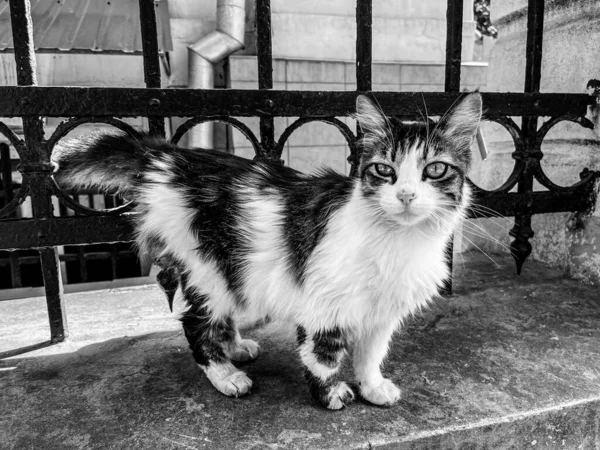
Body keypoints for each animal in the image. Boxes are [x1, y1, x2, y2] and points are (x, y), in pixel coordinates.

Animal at [51, 93, 482, 410]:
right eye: (384, 170)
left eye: (435, 170)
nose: (406, 195)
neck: (399, 242)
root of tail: (167, 156)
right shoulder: (324, 305)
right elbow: (323, 355)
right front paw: (331, 395)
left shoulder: (382, 312)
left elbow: (371, 353)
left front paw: (372, 387)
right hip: (206, 268)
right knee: (195, 325)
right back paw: (226, 375)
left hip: (231, 270)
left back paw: (236, 347)